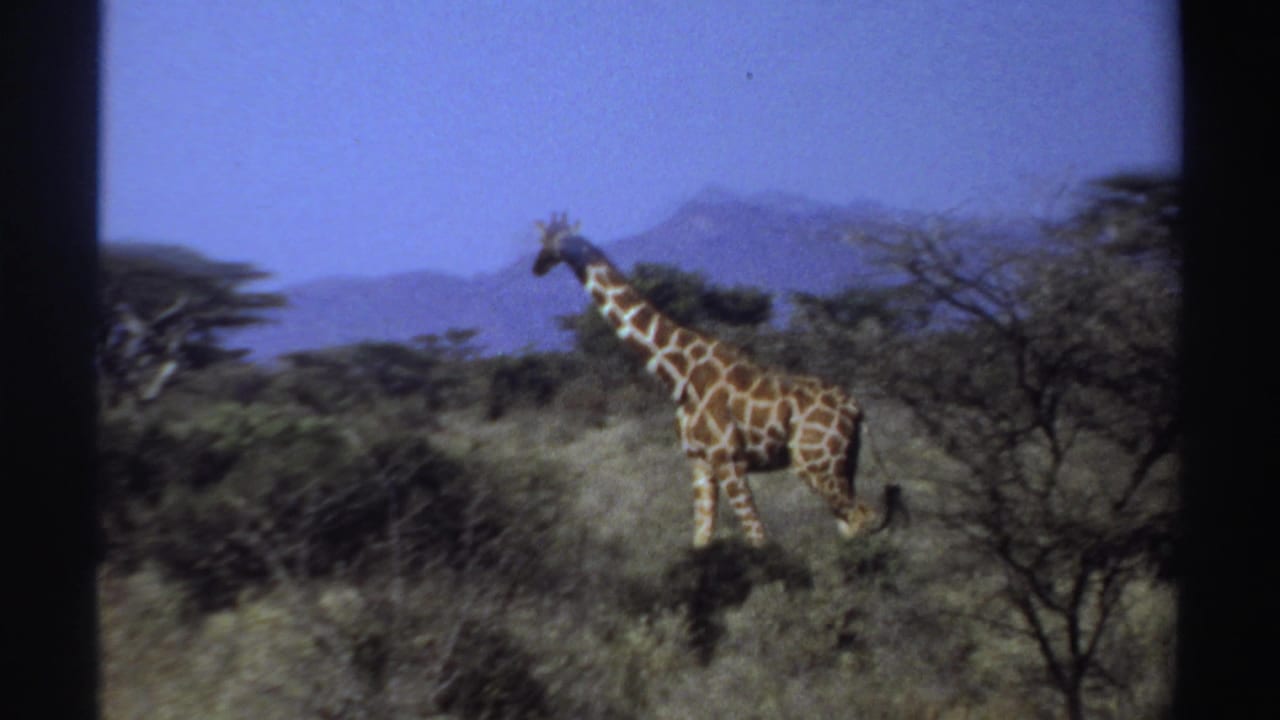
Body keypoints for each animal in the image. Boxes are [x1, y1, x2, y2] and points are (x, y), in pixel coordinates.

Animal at [532, 213, 878, 547]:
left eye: (554, 243)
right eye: (543, 240)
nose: (537, 267)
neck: (677, 371)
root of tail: (856, 408)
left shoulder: (729, 460)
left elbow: (758, 537)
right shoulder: (699, 461)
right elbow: (701, 539)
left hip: (815, 463)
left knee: (862, 516)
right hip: (841, 463)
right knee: (854, 521)